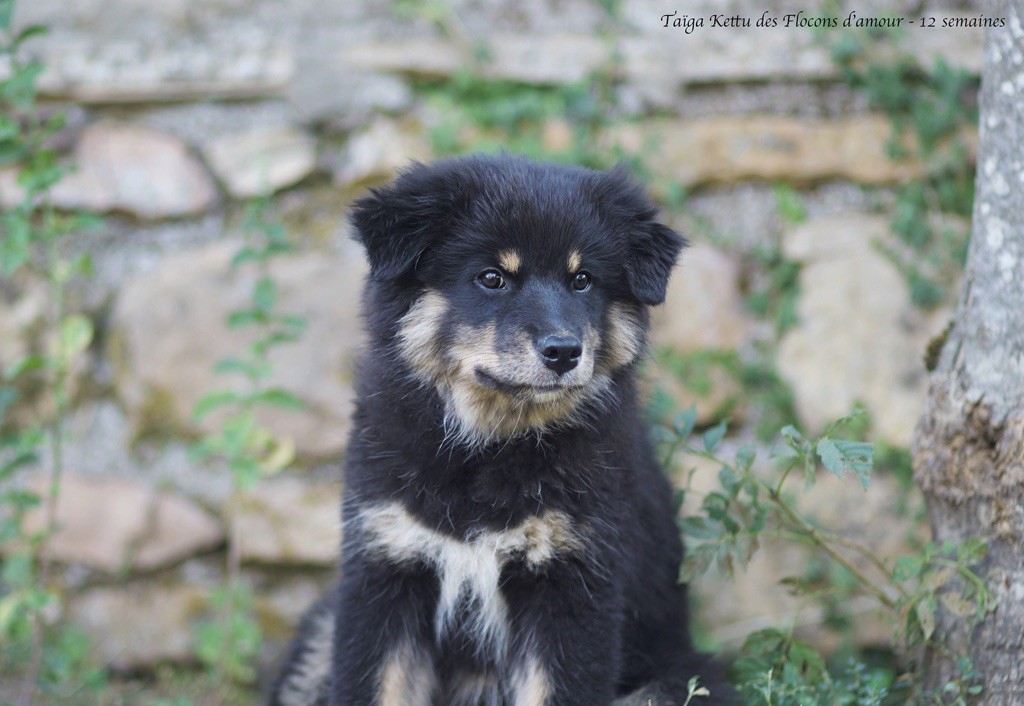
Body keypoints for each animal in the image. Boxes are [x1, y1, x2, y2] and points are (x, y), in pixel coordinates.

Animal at [264, 153, 729, 704]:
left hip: (676, 679)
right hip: (322, 632)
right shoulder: (384, 568)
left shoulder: (573, 587)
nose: (564, 352)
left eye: (583, 280)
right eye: (492, 278)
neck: (490, 446)